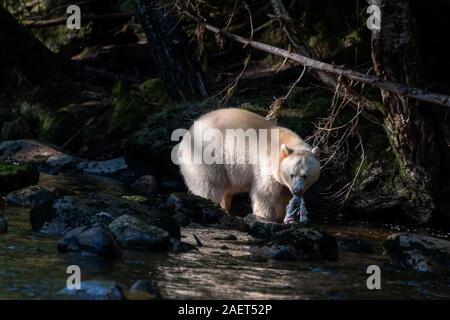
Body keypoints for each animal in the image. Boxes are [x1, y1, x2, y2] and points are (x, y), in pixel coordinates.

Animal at [176, 107, 320, 222]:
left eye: (305, 175)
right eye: (291, 174)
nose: (297, 191)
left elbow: (283, 194)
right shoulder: (266, 164)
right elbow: (267, 194)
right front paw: (266, 216)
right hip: (207, 154)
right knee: (209, 184)